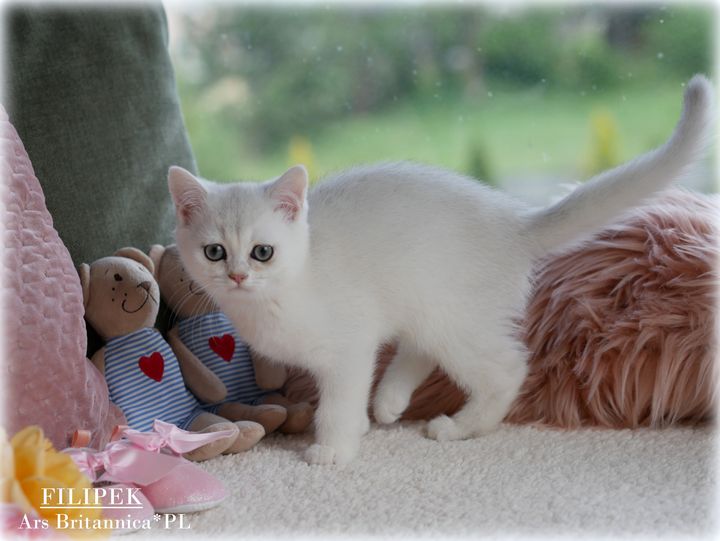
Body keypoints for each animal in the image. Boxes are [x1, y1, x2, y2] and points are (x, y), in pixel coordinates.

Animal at [168, 75, 712, 465]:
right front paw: (360, 425)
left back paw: (460, 426)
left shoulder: (349, 347)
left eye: (262, 252)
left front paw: (334, 449)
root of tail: (514, 221)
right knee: (421, 349)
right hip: (430, 307)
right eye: (215, 252)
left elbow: (338, 403)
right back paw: (389, 401)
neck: (283, 294)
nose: (238, 275)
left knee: (506, 369)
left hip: (454, 319)